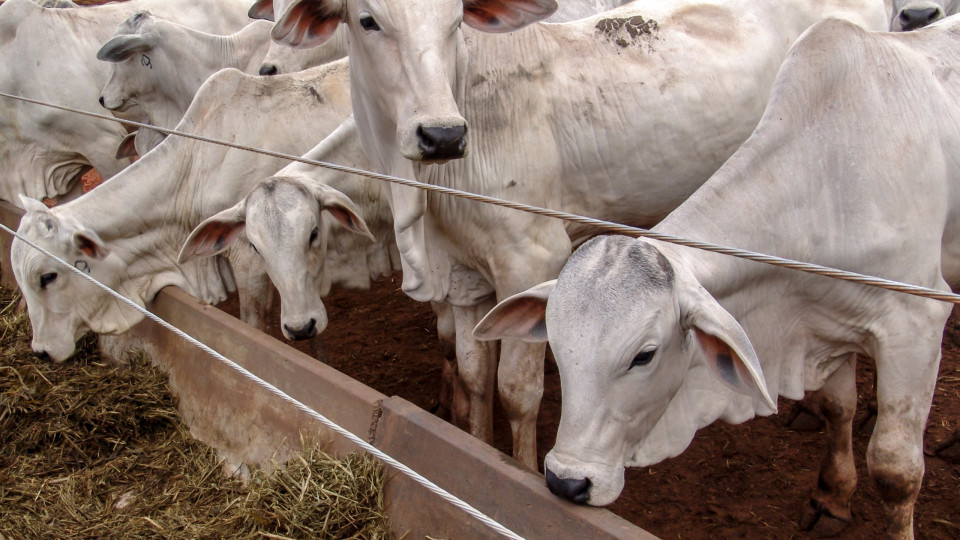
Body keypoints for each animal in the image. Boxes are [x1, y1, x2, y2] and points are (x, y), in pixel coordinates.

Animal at [270, 0, 884, 468]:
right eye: (369, 20)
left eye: (456, 21)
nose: (441, 135)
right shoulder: (467, 279)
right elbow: (474, 376)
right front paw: (474, 446)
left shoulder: (531, 259)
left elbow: (517, 392)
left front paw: (517, 472)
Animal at [474, 15, 960, 536]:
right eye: (557, 349)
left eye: (643, 356)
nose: (567, 483)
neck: (831, 185)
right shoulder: (828, 323)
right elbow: (837, 407)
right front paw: (833, 496)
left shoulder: (916, 325)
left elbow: (895, 471)